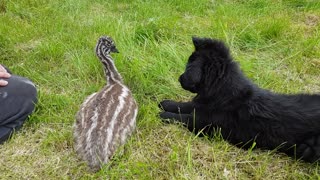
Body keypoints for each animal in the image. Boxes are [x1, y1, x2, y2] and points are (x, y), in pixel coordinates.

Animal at [159, 36, 320, 162]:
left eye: (188, 65)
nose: (179, 78)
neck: (223, 90)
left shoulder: (207, 123)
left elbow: (185, 118)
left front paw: (164, 114)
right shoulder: (202, 104)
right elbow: (185, 105)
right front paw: (165, 103)